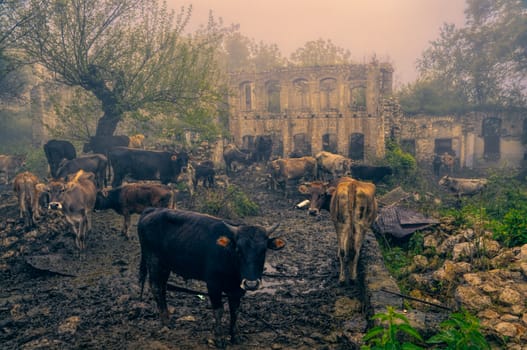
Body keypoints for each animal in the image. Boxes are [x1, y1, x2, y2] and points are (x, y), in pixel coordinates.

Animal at [136, 208, 284, 348]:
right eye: (238, 250)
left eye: (263, 251)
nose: (251, 284)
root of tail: (151, 210)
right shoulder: (213, 284)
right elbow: (218, 310)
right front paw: (219, 339)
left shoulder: (237, 289)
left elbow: (235, 310)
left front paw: (235, 336)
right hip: (154, 261)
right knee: (156, 288)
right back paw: (166, 322)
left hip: (165, 266)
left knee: (162, 288)